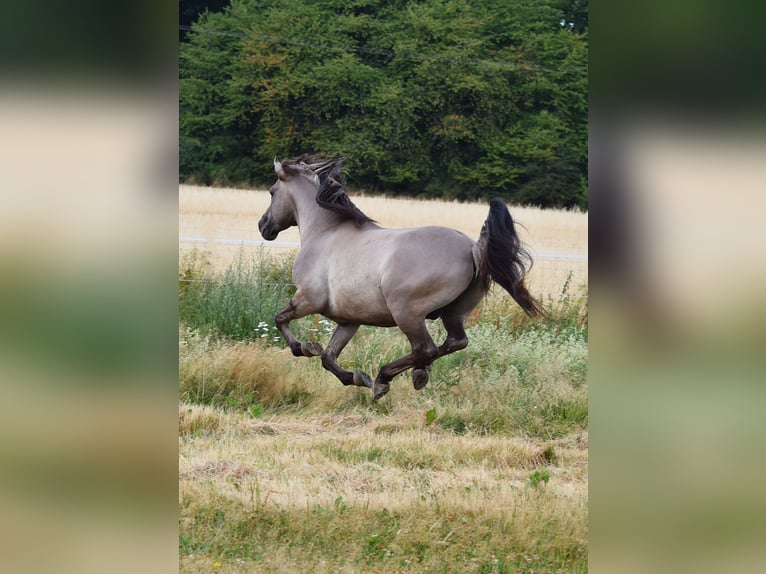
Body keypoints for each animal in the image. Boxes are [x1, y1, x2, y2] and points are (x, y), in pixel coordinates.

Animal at [258, 154, 543, 400]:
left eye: (272, 192)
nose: (264, 226)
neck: (325, 232)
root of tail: (472, 248)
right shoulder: (348, 320)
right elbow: (328, 358)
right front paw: (356, 377)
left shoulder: (308, 299)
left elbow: (280, 320)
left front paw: (305, 348)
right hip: (454, 312)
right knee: (454, 342)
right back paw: (417, 373)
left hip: (407, 312)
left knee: (425, 348)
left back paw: (386, 379)